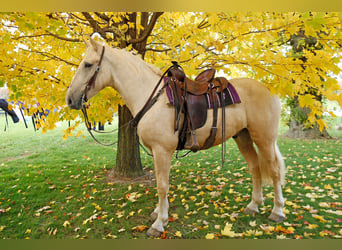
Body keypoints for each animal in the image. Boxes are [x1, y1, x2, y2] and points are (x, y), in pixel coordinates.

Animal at [67, 38, 286, 236]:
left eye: (88, 65)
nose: (70, 99)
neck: (152, 98)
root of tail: (270, 90)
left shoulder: (162, 150)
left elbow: (162, 186)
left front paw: (159, 224)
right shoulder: (156, 152)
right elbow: (159, 182)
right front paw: (159, 213)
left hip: (264, 139)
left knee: (274, 171)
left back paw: (277, 211)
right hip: (243, 137)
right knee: (255, 168)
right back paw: (253, 205)